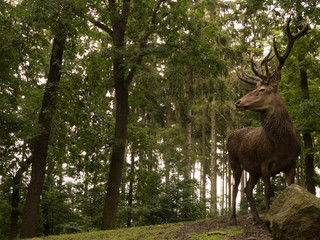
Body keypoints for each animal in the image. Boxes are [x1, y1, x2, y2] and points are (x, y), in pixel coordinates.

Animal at [229, 14, 308, 225]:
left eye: (262, 90)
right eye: (254, 88)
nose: (238, 102)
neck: (281, 144)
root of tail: (229, 136)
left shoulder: (292, 163)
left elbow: (288, 189)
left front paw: (269, 217)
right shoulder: (265, 164)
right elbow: (267, 191)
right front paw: (268, 218)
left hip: (252, 170)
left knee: (247, 189)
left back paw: (255, 218)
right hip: (234, 163)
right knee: (235, 188)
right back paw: (234, 218)